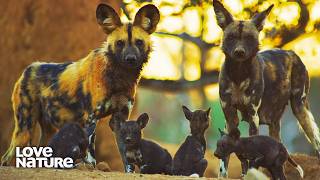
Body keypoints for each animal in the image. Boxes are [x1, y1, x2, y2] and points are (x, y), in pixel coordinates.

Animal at [0, 3, 160, 170]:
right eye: (120, 43)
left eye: (139, 42)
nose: (130, 59)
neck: (119, 77)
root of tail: (28, 68)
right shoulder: (91, 117)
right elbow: (90, 149)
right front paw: (90, 166)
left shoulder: (120, 117)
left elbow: (124, 153)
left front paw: (129, 171)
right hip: (24, 129)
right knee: (7, 157)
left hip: (47, 131)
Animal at [212, 0, 320, 177]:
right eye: (231, 37)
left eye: (249, 38)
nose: (239, 52)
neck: (238, 75)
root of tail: (292, 52)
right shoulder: (229, 115)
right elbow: (225, 162)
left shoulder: (253, 116)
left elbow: (249, 155)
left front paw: (249, 174)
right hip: (275, 125)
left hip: (300, 110)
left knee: (316, 145)